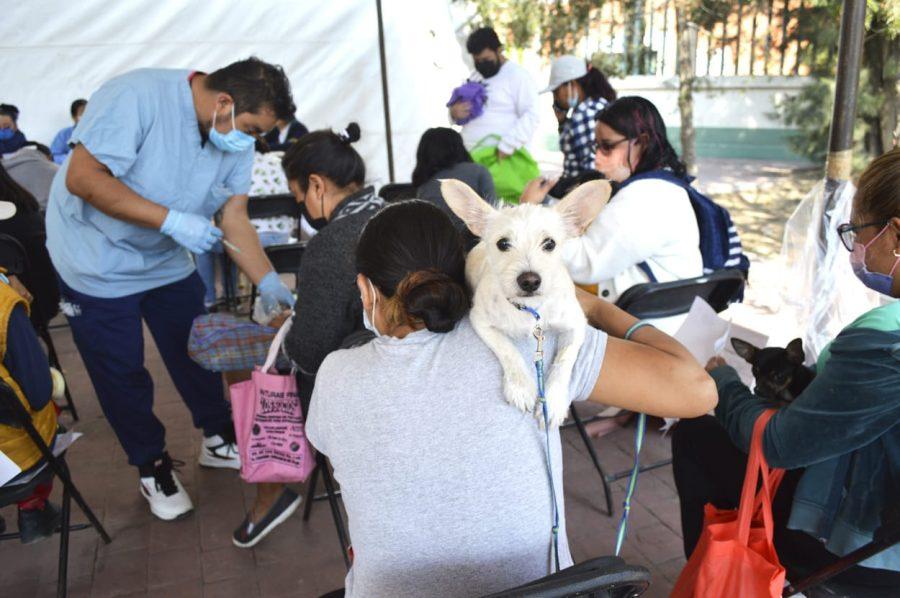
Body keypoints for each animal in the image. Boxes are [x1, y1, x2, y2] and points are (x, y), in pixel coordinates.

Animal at [438, 180, 608, 428]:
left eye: (550, 244)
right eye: (503, 244)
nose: (529, 280)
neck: (530, 309)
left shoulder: (576, 325)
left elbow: (564, 360)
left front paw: (554, 401)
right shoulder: (480, 321)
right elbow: (508, 350)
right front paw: (521, 388)